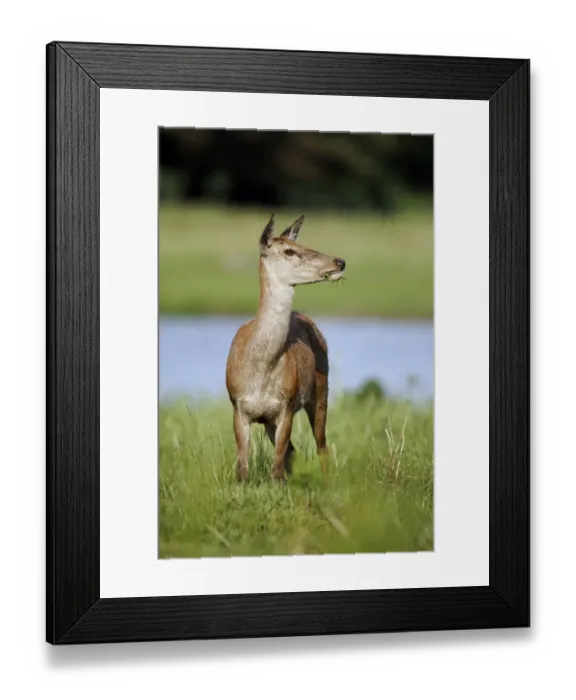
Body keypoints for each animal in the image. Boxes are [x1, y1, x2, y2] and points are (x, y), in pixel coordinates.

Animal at [225, 214, 346, 482]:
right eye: (289, 250)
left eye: (300, 244)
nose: (340, 261)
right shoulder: (238, 405)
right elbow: (243, 468)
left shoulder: (287, 405)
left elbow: (276, 467)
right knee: (294, 450)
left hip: (321, 390)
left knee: (321, 446)